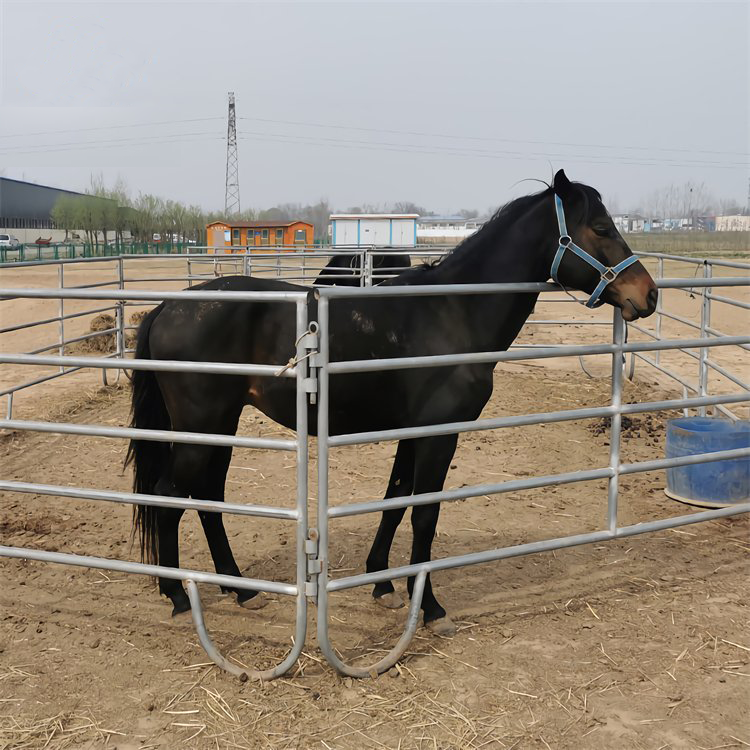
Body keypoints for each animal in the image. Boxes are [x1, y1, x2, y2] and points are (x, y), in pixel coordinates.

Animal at [128, 175, 656, 636]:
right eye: (602, 228)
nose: (647, 294)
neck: (452, 312)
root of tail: (166, 307)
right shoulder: (438, 434)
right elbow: (424, 515)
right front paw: (432, 608)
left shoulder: (411, 431)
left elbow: (395, 501)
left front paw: (381, 582)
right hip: (202, 425)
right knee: (169, 496)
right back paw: (177, 595)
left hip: (220, 424)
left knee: (207, 497)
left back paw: (240, 589)